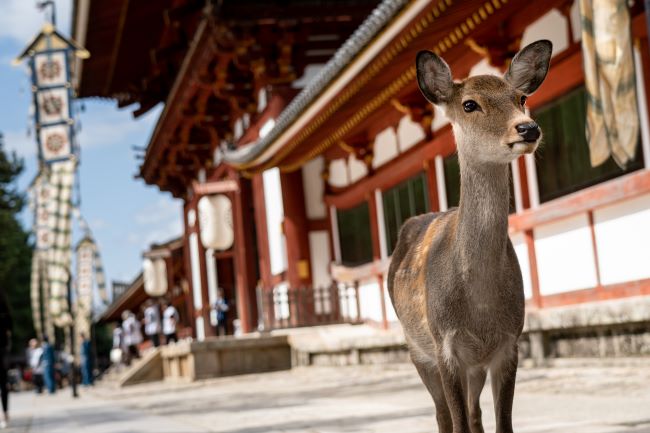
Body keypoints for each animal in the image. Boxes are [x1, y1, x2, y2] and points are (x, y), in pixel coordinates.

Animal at [388, 41, 548, 432]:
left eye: (521, 97)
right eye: (470, 104)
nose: (527, 128)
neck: (480, 309)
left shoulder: (508, 343)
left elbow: (502, 423)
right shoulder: (445, 346)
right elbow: (456, 421)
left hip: (473, 366)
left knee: (475, 414)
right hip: (415, 347)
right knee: (442, 414)